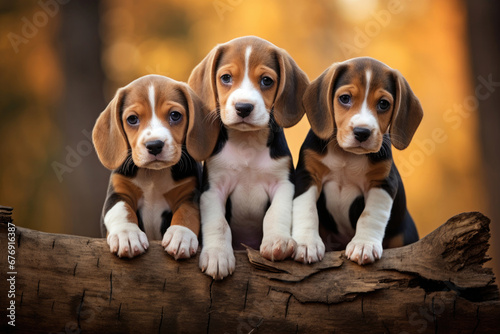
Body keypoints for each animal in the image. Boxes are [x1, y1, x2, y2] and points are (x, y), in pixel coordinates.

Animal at [93, 74, 212, 260]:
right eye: (132, 119)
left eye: (175, 115)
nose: (154, 145)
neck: (154, 176)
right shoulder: (117, 193)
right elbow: (121, 210)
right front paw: (127, 234)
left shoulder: (190, 194)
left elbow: (187, 213)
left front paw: (181, 235)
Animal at [188, 36, 308, 280]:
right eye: (226, 78)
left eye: (266, 80)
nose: (244, 107)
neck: (247, 143)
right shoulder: (213, 189)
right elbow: (218, 223)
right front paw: (217, 255)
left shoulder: (283, 183)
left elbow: (276, 213)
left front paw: (277, 241)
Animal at [294, 58, 424, 264]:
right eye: (345, 98)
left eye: (383, 104)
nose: (362, 132)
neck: (347, 156)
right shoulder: (307, 176)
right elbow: (306, 209)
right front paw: (306, 243)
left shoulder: (382, 183)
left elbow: (370, 215)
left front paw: (364, 245)